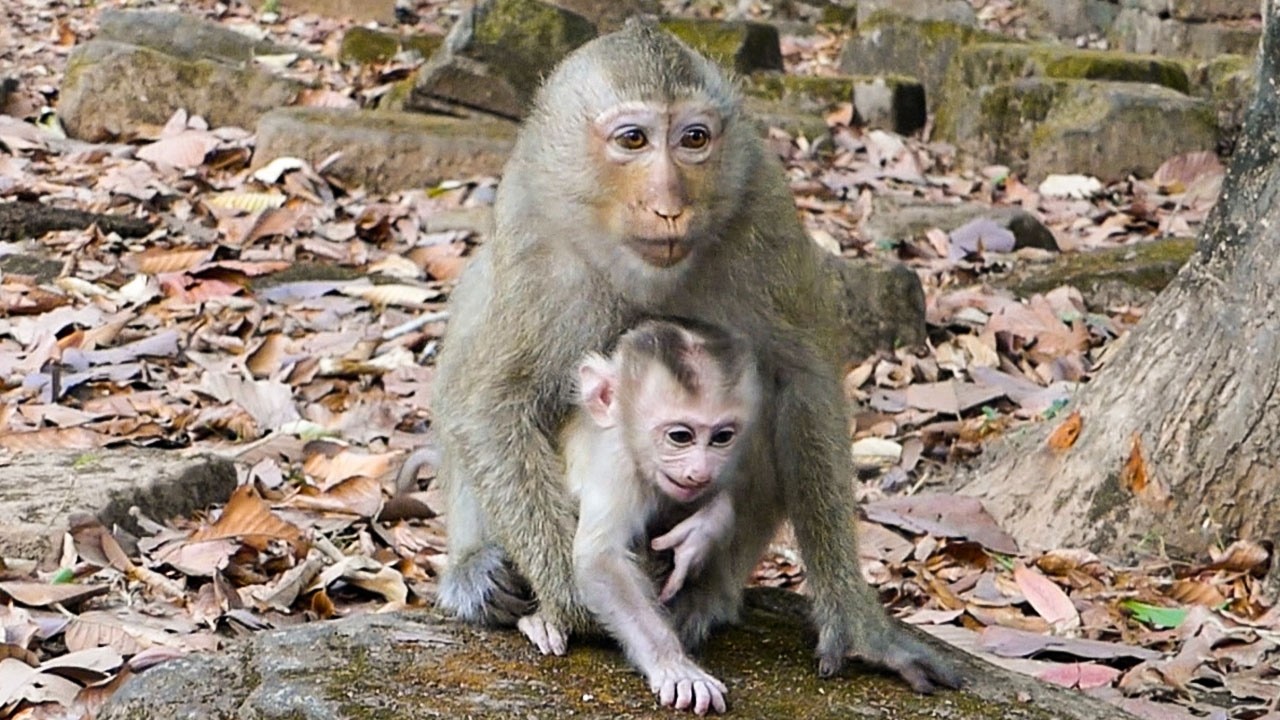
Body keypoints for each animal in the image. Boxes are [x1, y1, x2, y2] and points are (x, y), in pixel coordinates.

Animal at [516, 318, 758, 714]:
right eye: (680, 436)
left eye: (721, 437)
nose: (699, 471)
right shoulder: (618, 470)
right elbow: (600, 560)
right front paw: (674, 665)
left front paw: (705, 529)